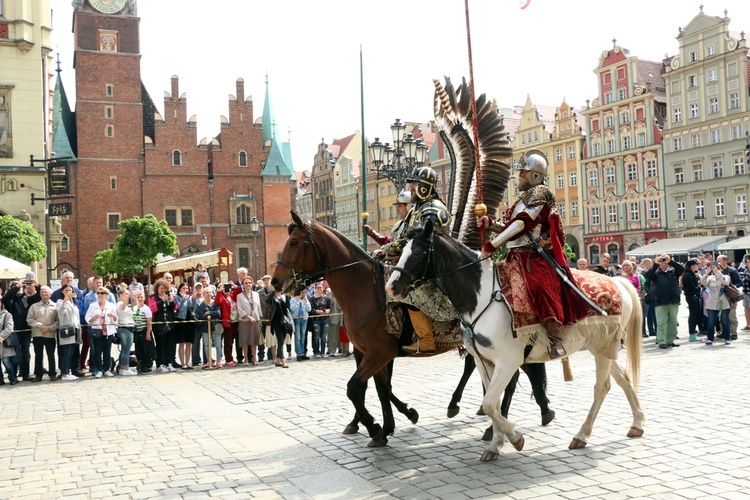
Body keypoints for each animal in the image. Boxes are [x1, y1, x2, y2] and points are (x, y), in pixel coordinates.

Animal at [274, 213, 556, 448]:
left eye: (295, 243)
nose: (276, 281)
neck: (364, 290)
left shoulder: (379, 352)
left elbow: (356, 387)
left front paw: (375, 426)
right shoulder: (368, 352)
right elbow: (379, 388)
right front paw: (387, 424)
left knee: (515, 375)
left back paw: (504, 422)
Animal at [388, 221, 648, 462]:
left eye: (418, 251)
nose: (392, 286)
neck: (481, 297)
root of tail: (617, 282)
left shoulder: (508, 362)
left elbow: (490, 402)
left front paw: (514, 437)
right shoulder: (484, 362)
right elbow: (491, 403)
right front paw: (495, 444)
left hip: (603, 346)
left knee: (601, 387)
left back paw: (581, 435)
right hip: (601, 347)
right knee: (623, 378)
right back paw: (636, 423)